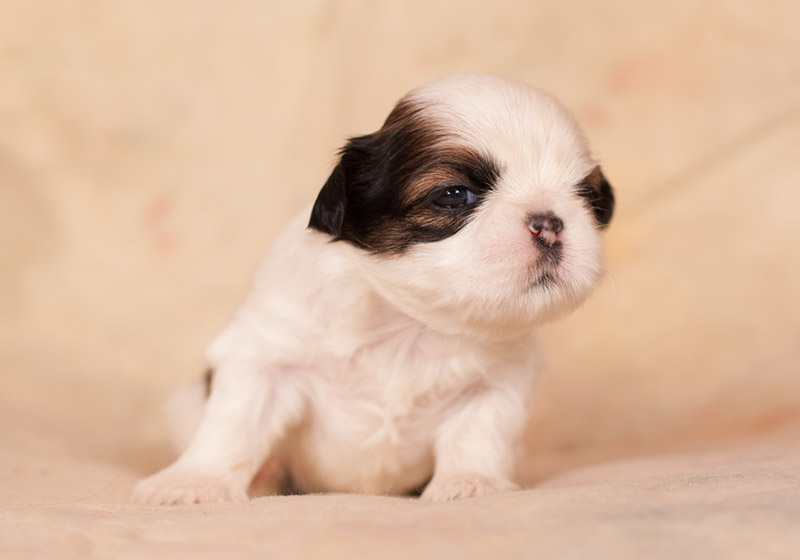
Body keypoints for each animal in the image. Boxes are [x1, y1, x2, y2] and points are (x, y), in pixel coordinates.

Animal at [132, 74, 614, 504]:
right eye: (454, 194)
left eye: (589, 198)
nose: (549, 222)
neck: (409, 325)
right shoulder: (266, 358)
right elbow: (233, 425)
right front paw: (193, 483)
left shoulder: (496, 383)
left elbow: (478, 434)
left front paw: (471, 483)